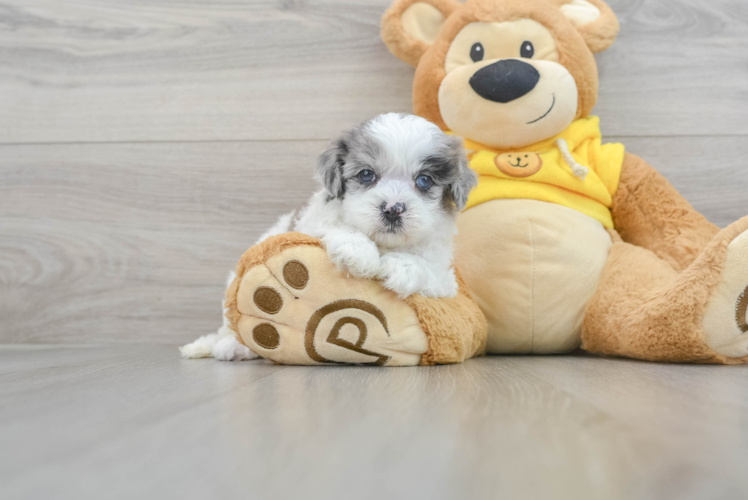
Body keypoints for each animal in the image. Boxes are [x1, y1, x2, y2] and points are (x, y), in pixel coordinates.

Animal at [178, 113, 476, 362]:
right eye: (366, 175)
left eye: (424, 180)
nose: (393, 209)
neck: (383, 244)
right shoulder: (310, 225)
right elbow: (335, 228)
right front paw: (358, 251)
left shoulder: (445, 278)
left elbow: (428, 269)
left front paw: (402, 266)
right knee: (229, 327)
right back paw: (230, 346)